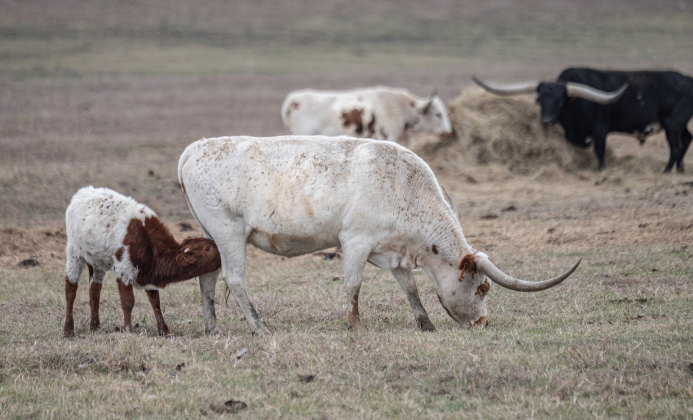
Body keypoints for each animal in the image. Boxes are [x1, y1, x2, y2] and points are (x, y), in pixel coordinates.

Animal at [178, 135, 580, 335]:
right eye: (482, 288)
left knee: (209, 278)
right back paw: (259, 326)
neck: (406, 187)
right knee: (234, 278)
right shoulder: (355, 242)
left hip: (212, 236)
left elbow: (410, 287)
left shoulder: (393, 252)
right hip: (229, 231)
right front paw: (354, 324)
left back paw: (212, 327)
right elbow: (353, 285)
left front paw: (425, 323)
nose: (482, 323)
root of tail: (192, 149)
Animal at [472, 68, 693, 172]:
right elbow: (577, 143)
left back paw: (666, 170)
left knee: (675, 146)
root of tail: (688, 79)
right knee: (686, 139)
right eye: (541, 99)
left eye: (560, 100)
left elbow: (599, 149)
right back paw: (679, 168)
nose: (546, 120)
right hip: (678, 124)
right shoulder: (573, 132)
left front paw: (601, 169)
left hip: (672, 124)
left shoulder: (600, 128)